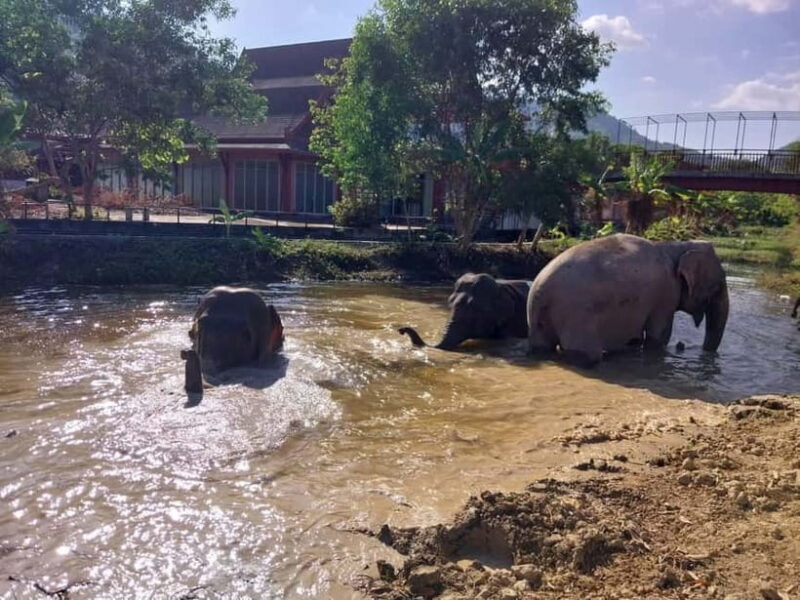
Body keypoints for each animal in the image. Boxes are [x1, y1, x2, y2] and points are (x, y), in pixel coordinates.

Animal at [527, 234, 729, 367]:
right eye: (718, 286)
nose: (683, 346)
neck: (677, 246)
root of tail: (539, 290)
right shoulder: (665, 294)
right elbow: (659, 336)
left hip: (542, 319)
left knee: (542, 347)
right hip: (575, 313)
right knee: (588, 355)